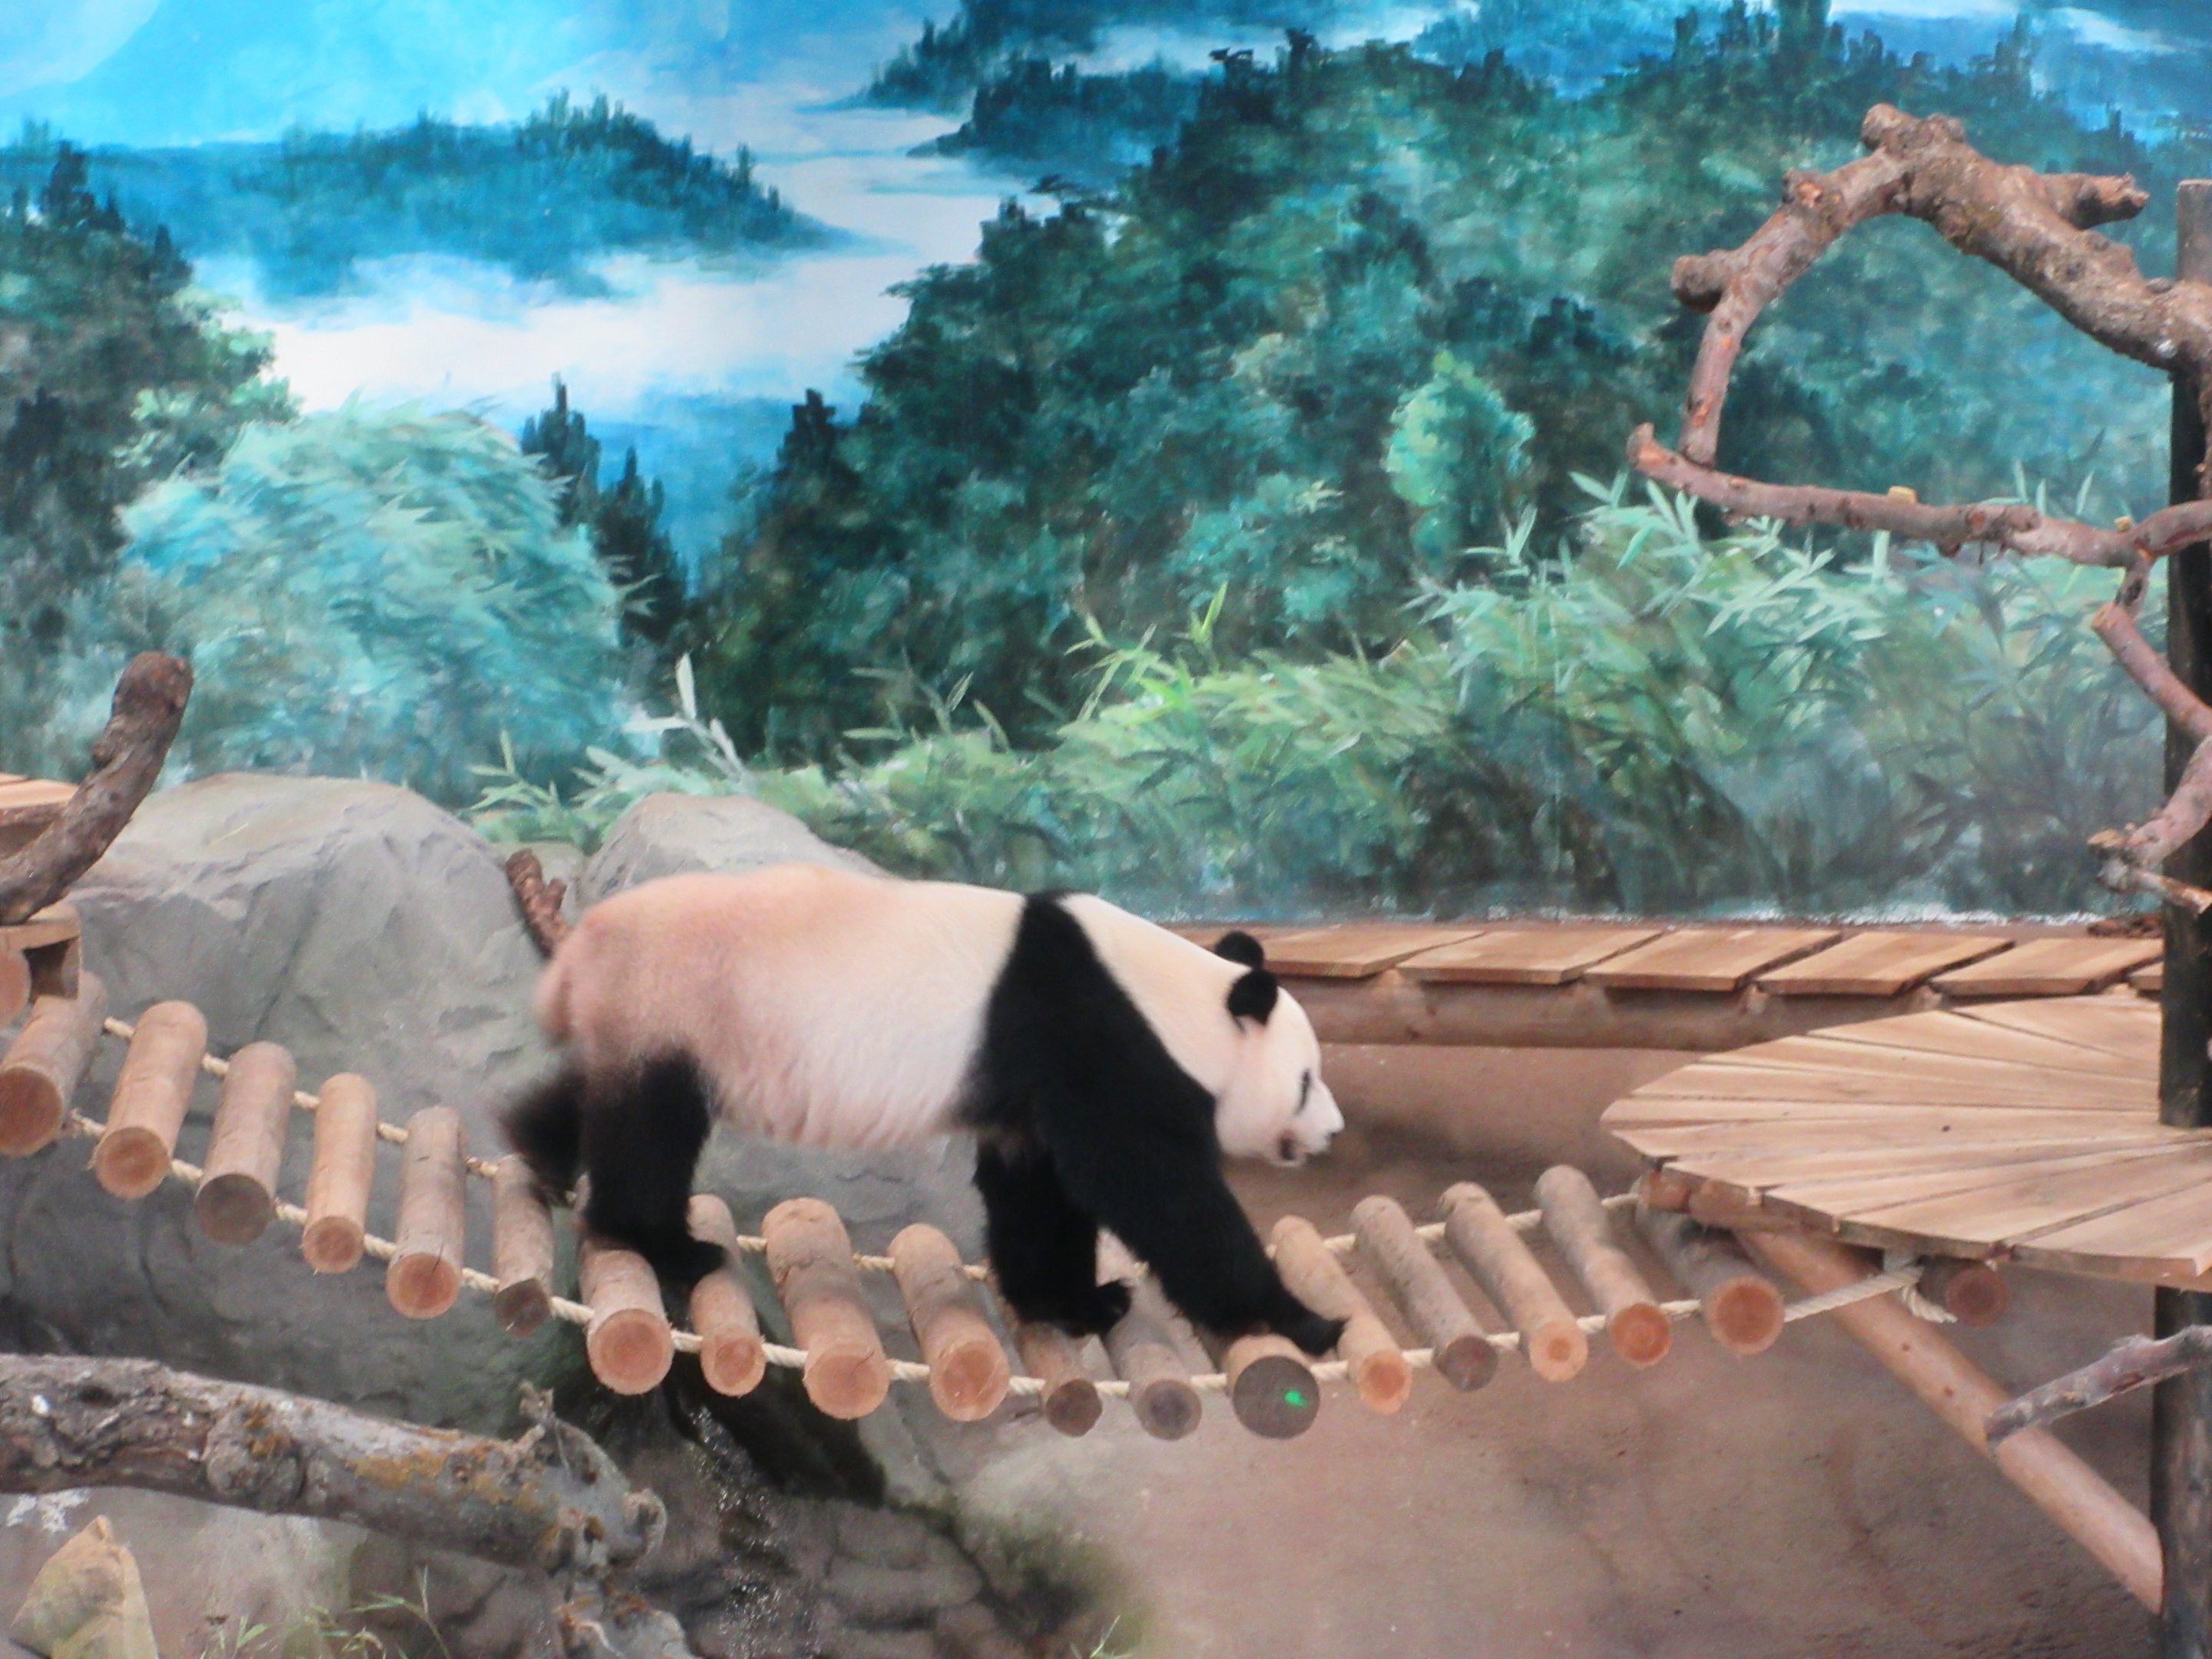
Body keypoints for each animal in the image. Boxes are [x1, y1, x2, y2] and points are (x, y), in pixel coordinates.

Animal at [501, 862, 1349, 1357]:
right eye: (1306, 1080)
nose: (1331, 1131)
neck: (1164, 993)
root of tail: (580, 949)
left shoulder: (1032, 1090)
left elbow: (1037, 1191)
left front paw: (1071, 1301)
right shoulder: (1093, 1041)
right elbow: (1157, 1192)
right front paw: (1302, 1318)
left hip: (643, 1015)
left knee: (603, 1097)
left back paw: (539, 1144)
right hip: (679, 997)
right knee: (650, 1132)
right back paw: (666, 1242)